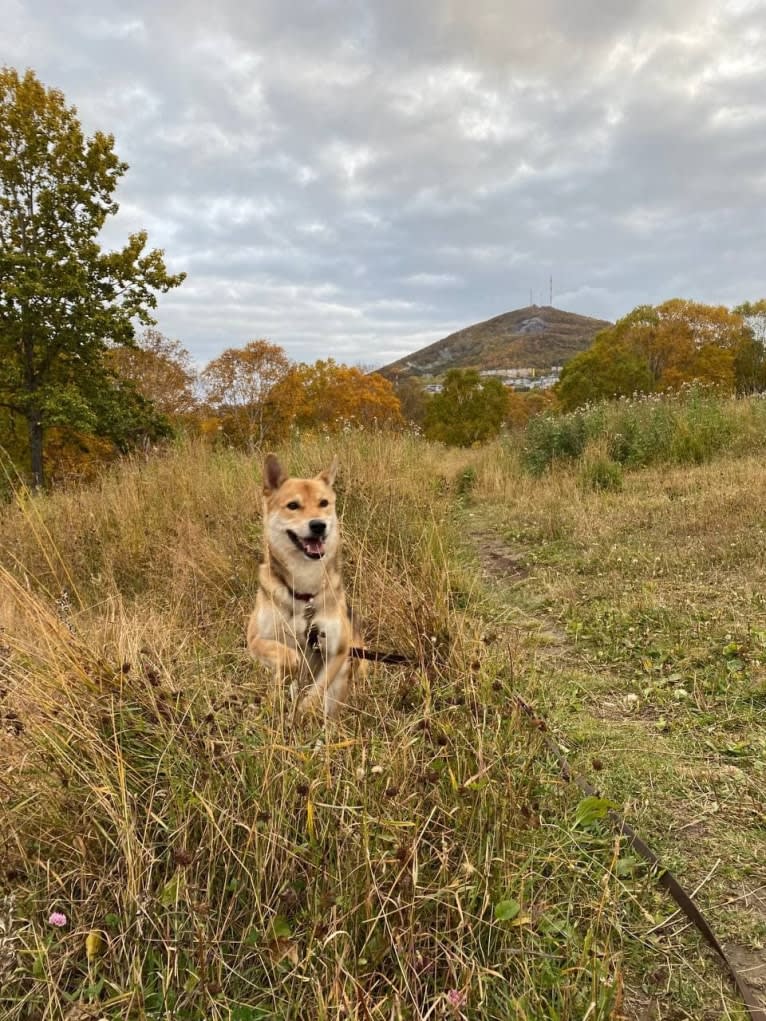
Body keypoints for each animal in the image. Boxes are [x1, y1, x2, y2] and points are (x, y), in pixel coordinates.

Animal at [247, 455, 363, 718]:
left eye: (324, 503)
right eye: (293, 505)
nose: (318, 525)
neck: (304, 593)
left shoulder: (338, 650)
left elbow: (315, 693)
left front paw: (302, 710)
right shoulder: (255, 639)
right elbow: (288, 657)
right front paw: (289, 672)